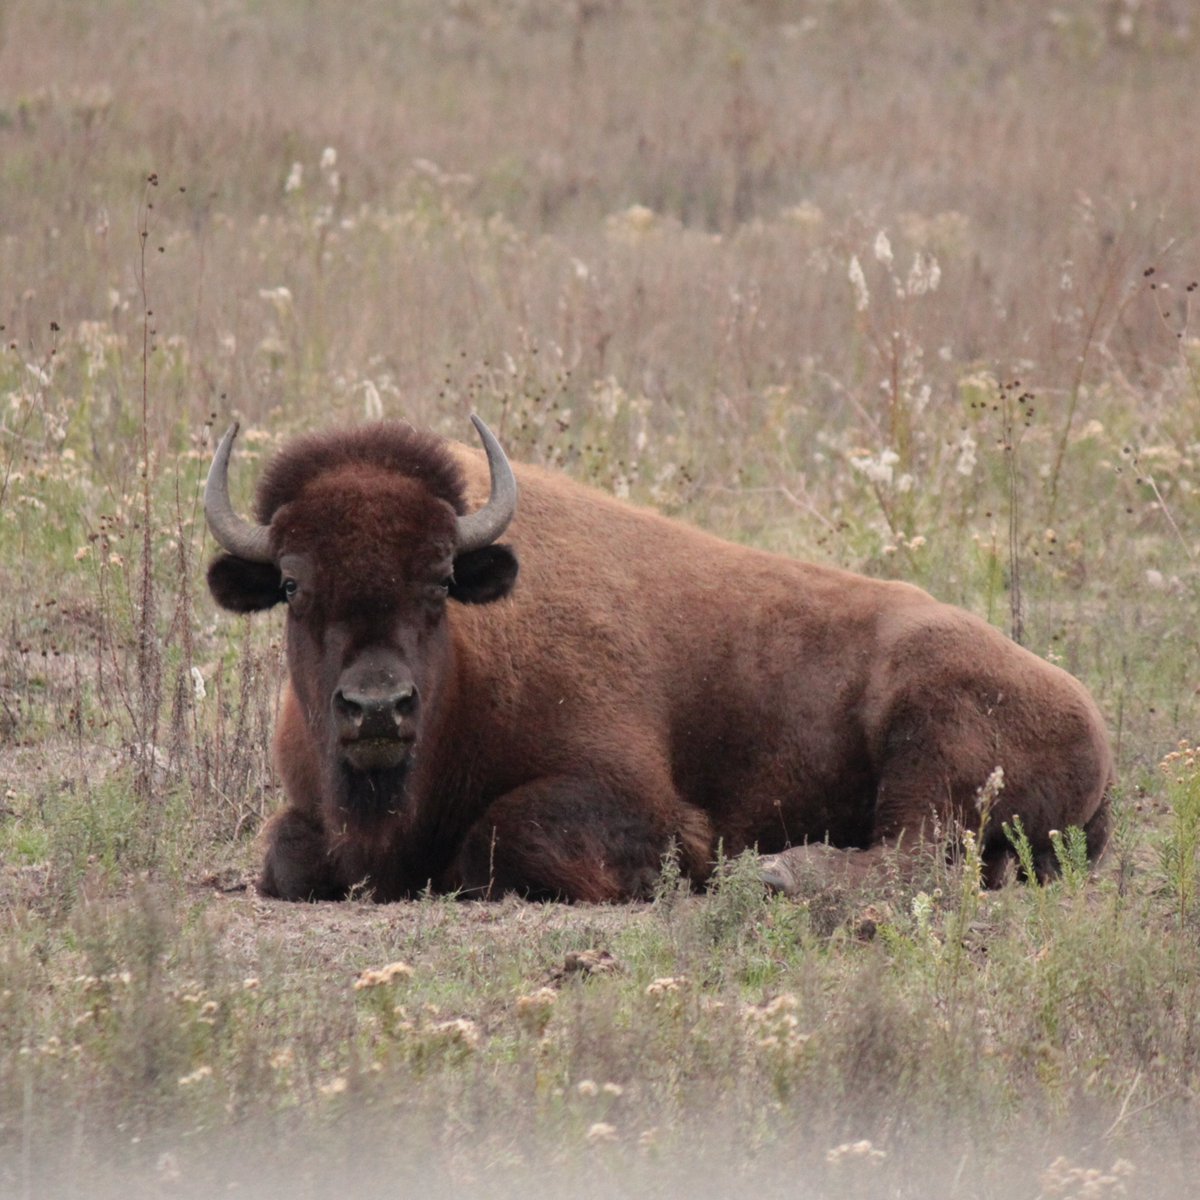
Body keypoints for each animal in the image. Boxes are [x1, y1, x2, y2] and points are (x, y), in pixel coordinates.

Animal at [204, 416, 1112, 901]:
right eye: (293, 584)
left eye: (437, 580)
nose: (377, 708)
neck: (471, 655)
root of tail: (1090, 716)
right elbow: (286, 856)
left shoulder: (629, 796)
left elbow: (499, 840)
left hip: (930, 736)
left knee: (914, 857)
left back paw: (779, 874)